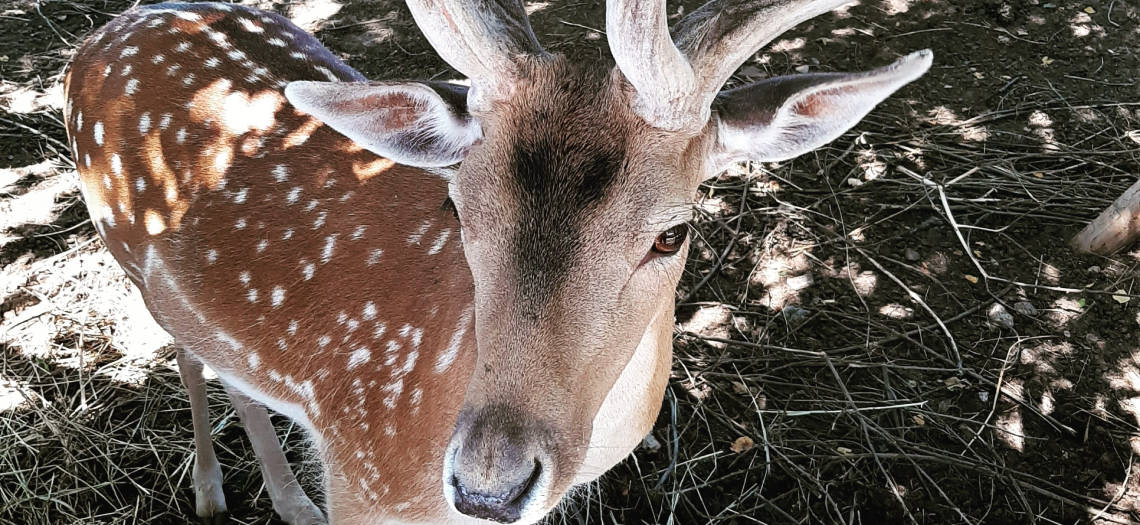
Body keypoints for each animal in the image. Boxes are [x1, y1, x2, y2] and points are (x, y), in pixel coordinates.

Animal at [62, 0, 930, 521]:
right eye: (457, 206)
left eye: (672, 233)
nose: (488, 483)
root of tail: (97, 38)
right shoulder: (363, 478)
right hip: (125, 250)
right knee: (188, 354)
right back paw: (226, 492)